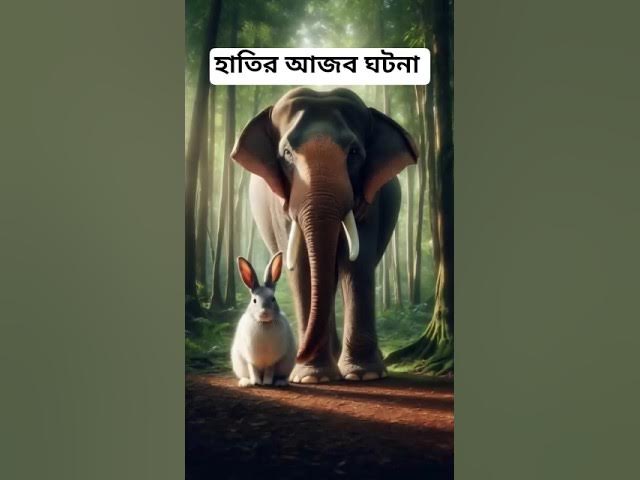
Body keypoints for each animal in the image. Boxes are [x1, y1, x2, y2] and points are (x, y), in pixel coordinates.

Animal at [231, 251, 296, 387]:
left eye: (273, 299)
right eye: (254, 300)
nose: (264, 312)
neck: (263, 324)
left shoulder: (273, 361)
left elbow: (269, 371)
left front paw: (266, 383)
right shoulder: (250, 359)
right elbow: (253, 369)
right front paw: (256, 382)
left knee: (281, 376)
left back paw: (280, 382)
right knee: (245, 374)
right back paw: (245, 382)